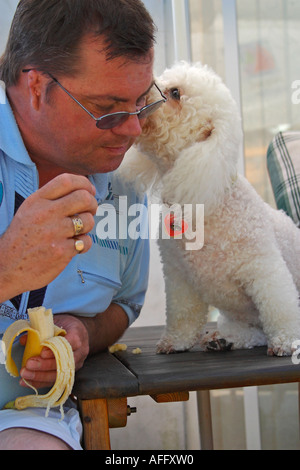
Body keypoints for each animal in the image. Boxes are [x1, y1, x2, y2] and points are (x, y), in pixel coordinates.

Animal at [119, 61, 300, 356]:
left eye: (175, 93)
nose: (139, 93)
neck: (203, 206)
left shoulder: (264, 269)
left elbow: (281, 308)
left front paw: (287, 341)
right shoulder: (178, 276)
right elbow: (183, 314)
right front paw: (176, 341)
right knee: (253, 333)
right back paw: (224, 339)